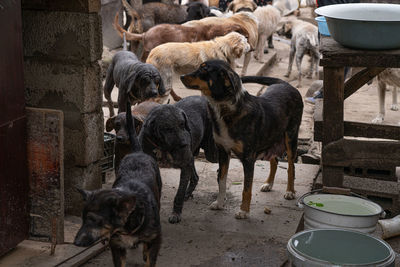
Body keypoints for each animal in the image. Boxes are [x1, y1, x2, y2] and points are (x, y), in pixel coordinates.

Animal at [74, 101, 162, 266]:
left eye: (95, 220)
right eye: (82, 219)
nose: (76, 243)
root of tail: (137, 152)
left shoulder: (155, 240)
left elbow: (150, 257)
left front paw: (146, 254)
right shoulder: (116, 245)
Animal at [138, 96, 219, 224]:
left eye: (182, 124)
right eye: (168, 129)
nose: (185, 144)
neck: (163, 146)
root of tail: (203, 97)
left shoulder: (185, 165)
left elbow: (179, 193)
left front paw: (176, 213)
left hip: (210, 153)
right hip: (192, 156)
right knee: (195, 177)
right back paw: (188, 193)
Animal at [181, 60, 304, 220]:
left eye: (204, 70)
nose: (181, 76)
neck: (224, 108)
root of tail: (284, 83)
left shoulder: (248, 159)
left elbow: (246, 188)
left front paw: (244, 211)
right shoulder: (223, 152)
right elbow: (221, 181)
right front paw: (219, 203)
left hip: (290, 138)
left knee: (290, 167)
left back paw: (290, 191)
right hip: (270, 138)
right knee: (274, 162)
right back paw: (268, 184)